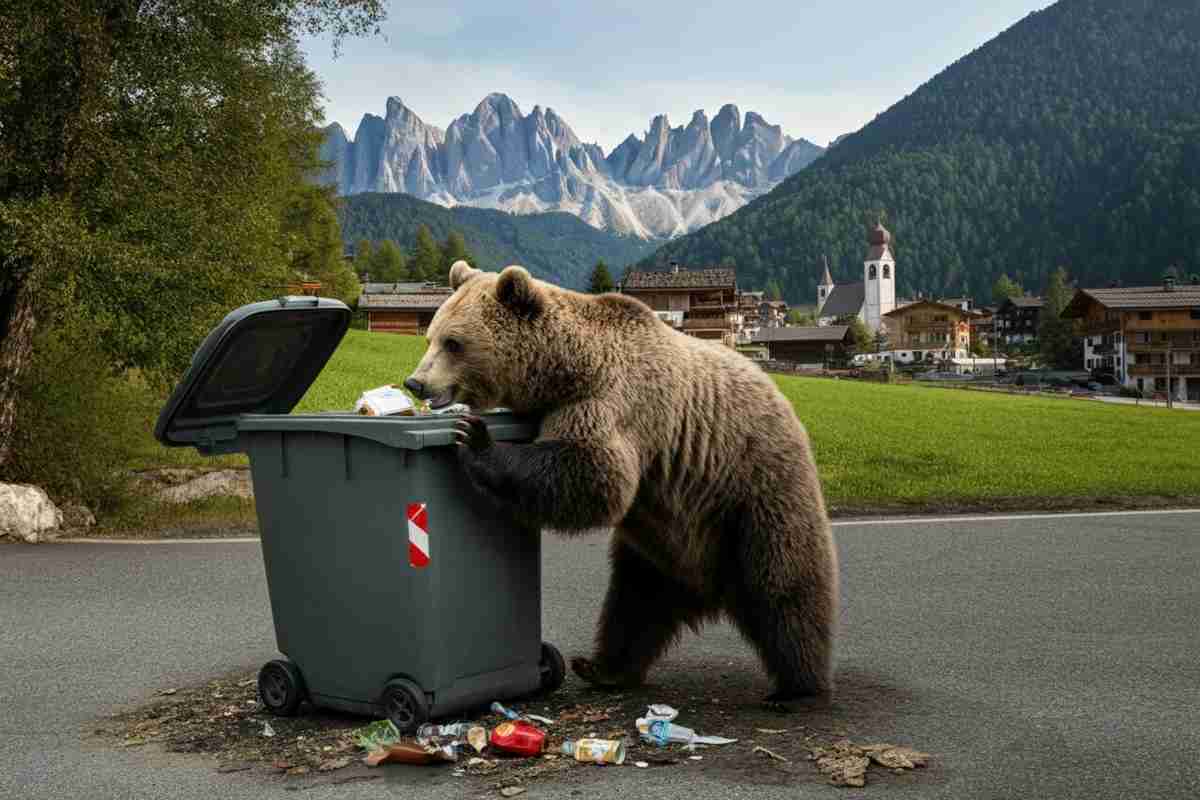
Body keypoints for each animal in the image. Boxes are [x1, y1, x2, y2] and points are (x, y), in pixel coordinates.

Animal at [403, 260, 839, 708]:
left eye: (454, 343)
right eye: (431, 335)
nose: (415, 383)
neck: (566, 372)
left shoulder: (614, 404)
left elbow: (595, 474)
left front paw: (476, 439)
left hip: (754, 488)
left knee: (783, 585)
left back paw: (797, 684)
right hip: (664, 543)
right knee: (635, 602)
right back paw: (603, 667)